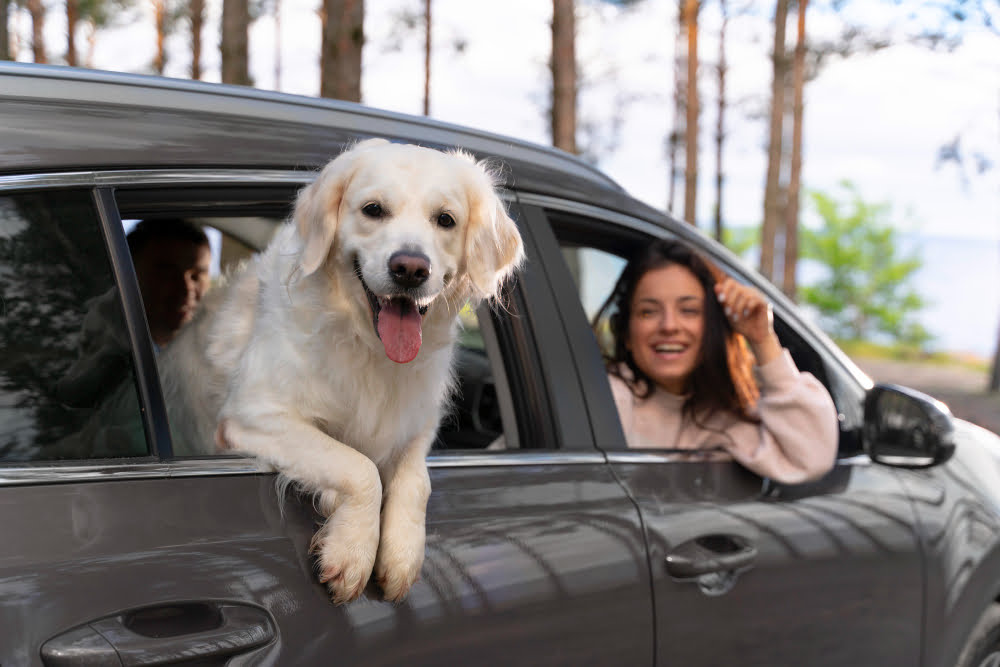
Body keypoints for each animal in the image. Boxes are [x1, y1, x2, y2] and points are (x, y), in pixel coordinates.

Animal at [158, 140, 524, 604]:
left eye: (445, 219)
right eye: (373, 209)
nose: (410, 268)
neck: (367, 347)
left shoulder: (416, 425)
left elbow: (416, 480)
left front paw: (402, 554)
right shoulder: (251, 416)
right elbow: (358, 466)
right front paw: (352, 551)